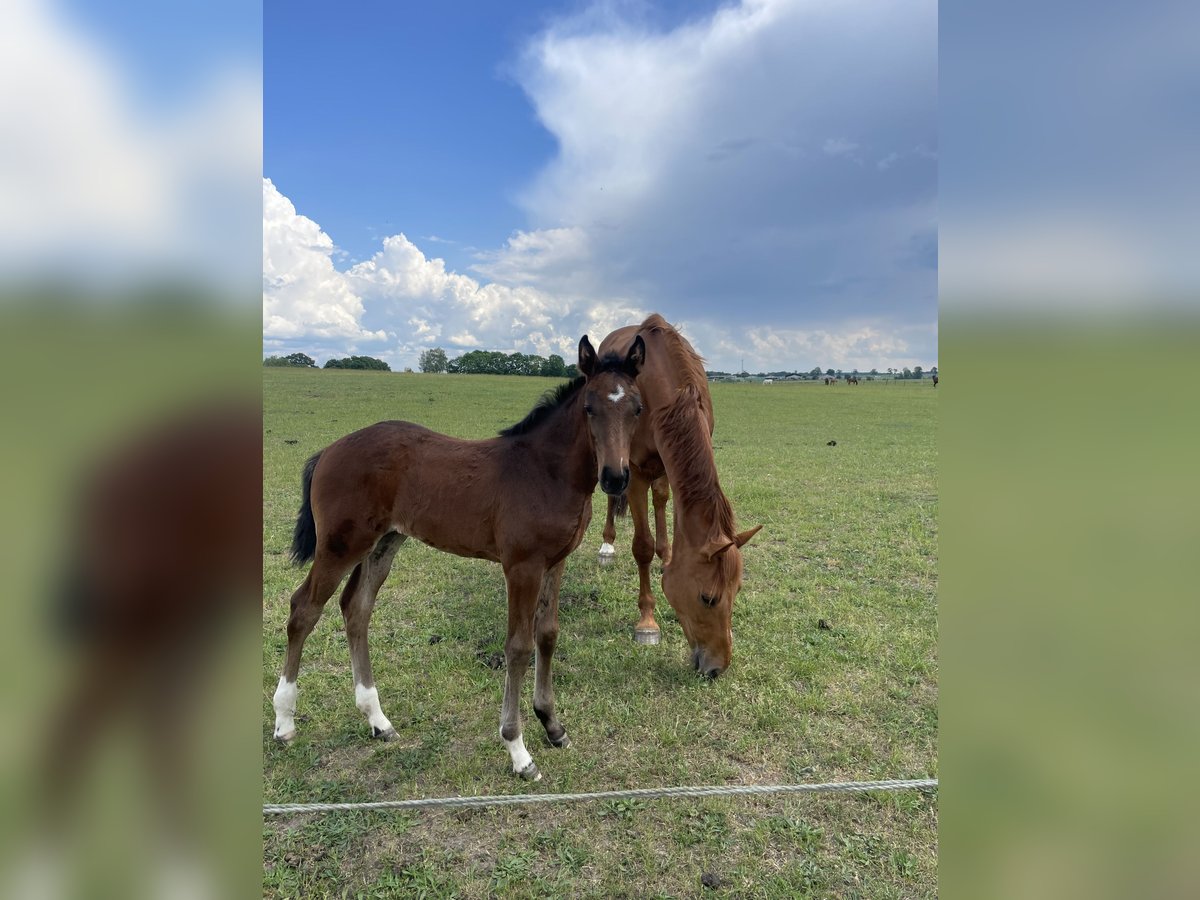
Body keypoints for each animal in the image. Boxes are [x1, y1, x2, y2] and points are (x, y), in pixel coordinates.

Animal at [273, 338, 648, 782]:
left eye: (637, 408)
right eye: (590, 407)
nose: (615, 478)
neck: (545, 471)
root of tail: (329, 449)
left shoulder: (555, 562)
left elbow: (548, 635)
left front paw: (553, 726)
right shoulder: (521, 566)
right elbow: (518, 647)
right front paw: (518, 751)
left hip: (385, 542)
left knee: (356, 608)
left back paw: (378, 720)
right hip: (340, 545)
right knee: (303, 609)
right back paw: (284, 722)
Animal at [597, 314, 758, 676]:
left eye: (738, 590)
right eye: (708, 598)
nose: (717, 668)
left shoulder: (671, 465)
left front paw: (667, 559)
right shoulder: (635, 470)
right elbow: (641, 547)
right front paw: (647, 622)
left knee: (660, 500)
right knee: (613, 496)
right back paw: (607, 544)